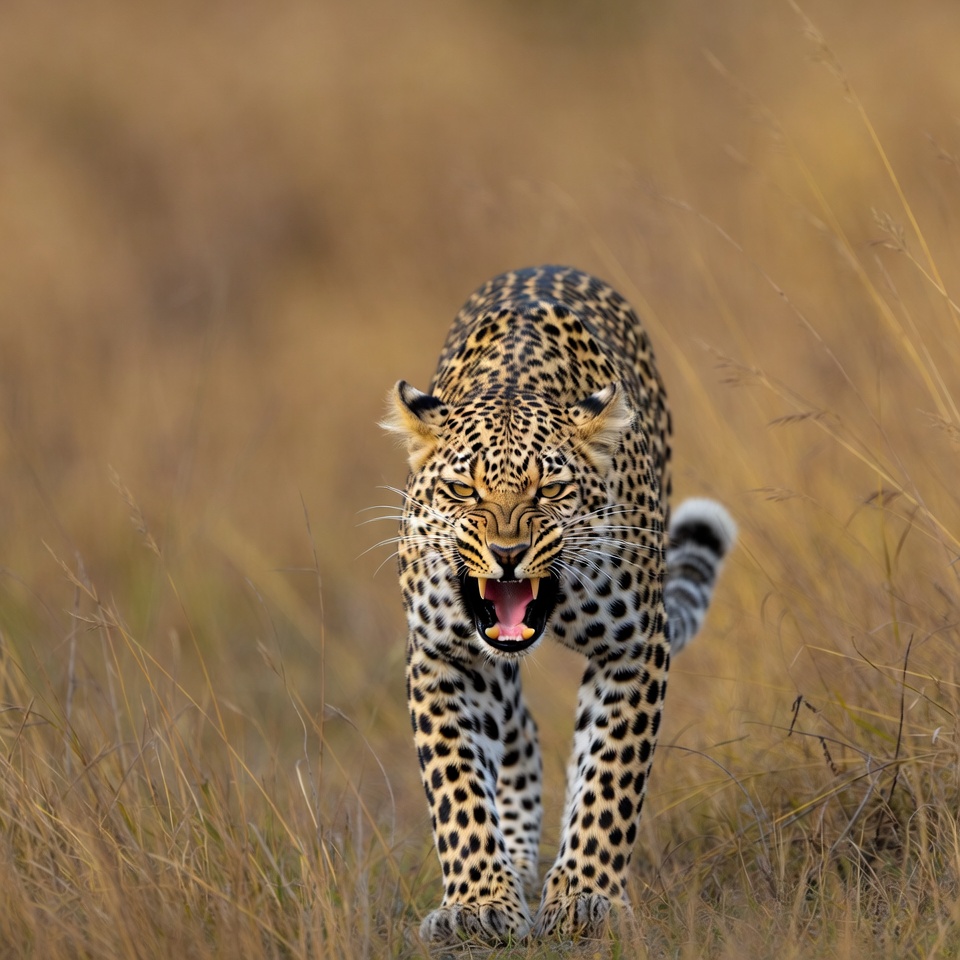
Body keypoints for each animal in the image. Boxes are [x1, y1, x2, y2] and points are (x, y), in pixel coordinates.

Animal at [381, 265, 735, 944]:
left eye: (550, 491)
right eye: (462, 490)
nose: (508, 553)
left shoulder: (635, 646)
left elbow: (610, 774)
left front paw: (585, 897)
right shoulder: (441, 658)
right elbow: (457, 784)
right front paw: (480, 903)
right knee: (516, 732)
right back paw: (516, 861)